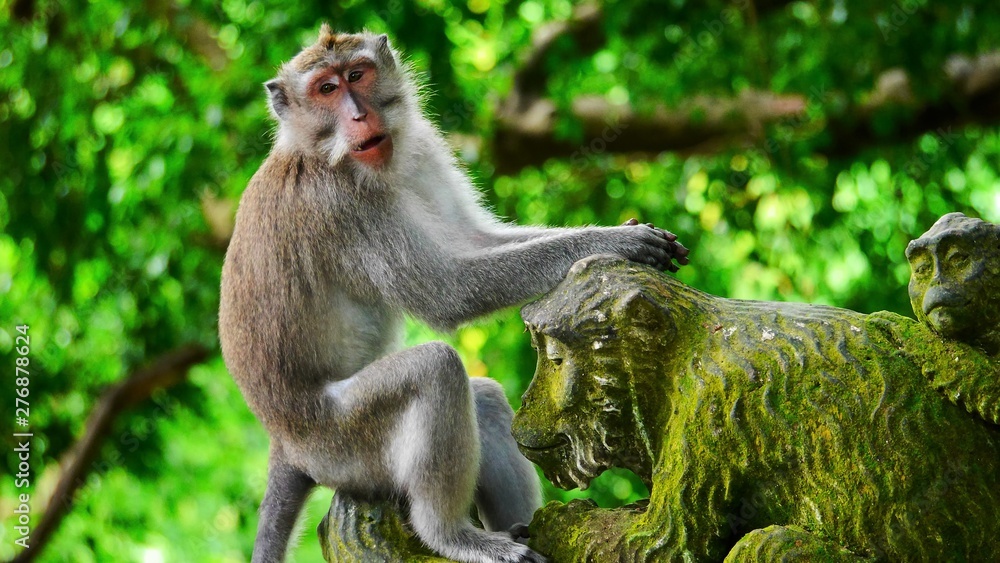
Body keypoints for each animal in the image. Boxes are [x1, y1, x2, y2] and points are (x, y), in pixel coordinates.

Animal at [218, 25, 689, 563]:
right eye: (326, 89)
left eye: (357, 75)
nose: (359, 115)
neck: (321, 153)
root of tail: (284, 443)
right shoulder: (340, 205)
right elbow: (448, 291)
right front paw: (619, 242)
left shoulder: (421, 148)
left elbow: (473, 240)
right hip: (342, 444)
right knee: (435, 369)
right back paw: (448, 534)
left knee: (481, 398)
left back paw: (518, 528)